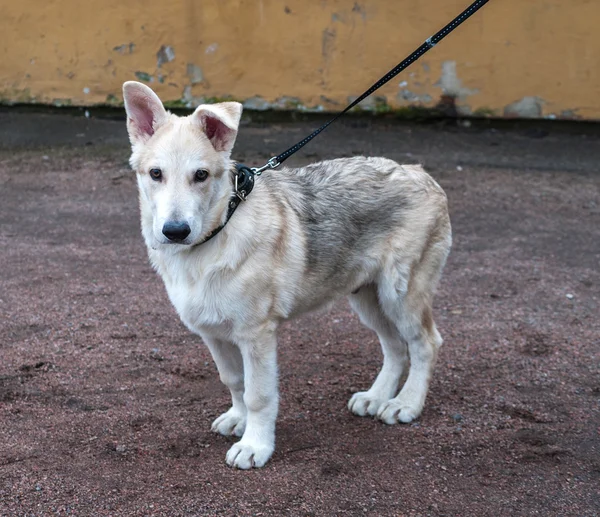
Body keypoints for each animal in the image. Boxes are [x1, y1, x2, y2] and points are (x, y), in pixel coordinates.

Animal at [122, 79, 450, 468]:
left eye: (200, 175)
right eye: (156, 174)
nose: (174, 231)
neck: (214, 239)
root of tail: (419, 171)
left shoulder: (257, 334)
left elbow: (258, 394)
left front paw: (255, 445)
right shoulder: (212, 331)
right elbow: (234, 381)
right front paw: (238, 420)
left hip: (401, 293)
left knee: (425, 344)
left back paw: (406, 404)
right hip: (369, 298)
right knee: (396, 347)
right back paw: (376, 396)